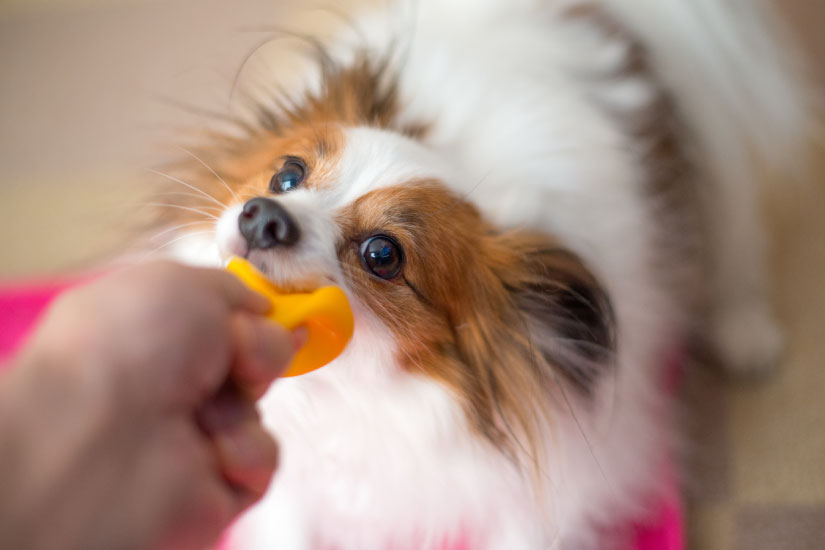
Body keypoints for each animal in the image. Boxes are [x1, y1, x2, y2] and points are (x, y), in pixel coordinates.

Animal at [153, 0, 812, 548]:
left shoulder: (542, 500)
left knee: (736, 244)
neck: (360, 395)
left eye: (382, 255)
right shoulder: (293, 485)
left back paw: (745, 331)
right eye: (286, 175)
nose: (264, 216)